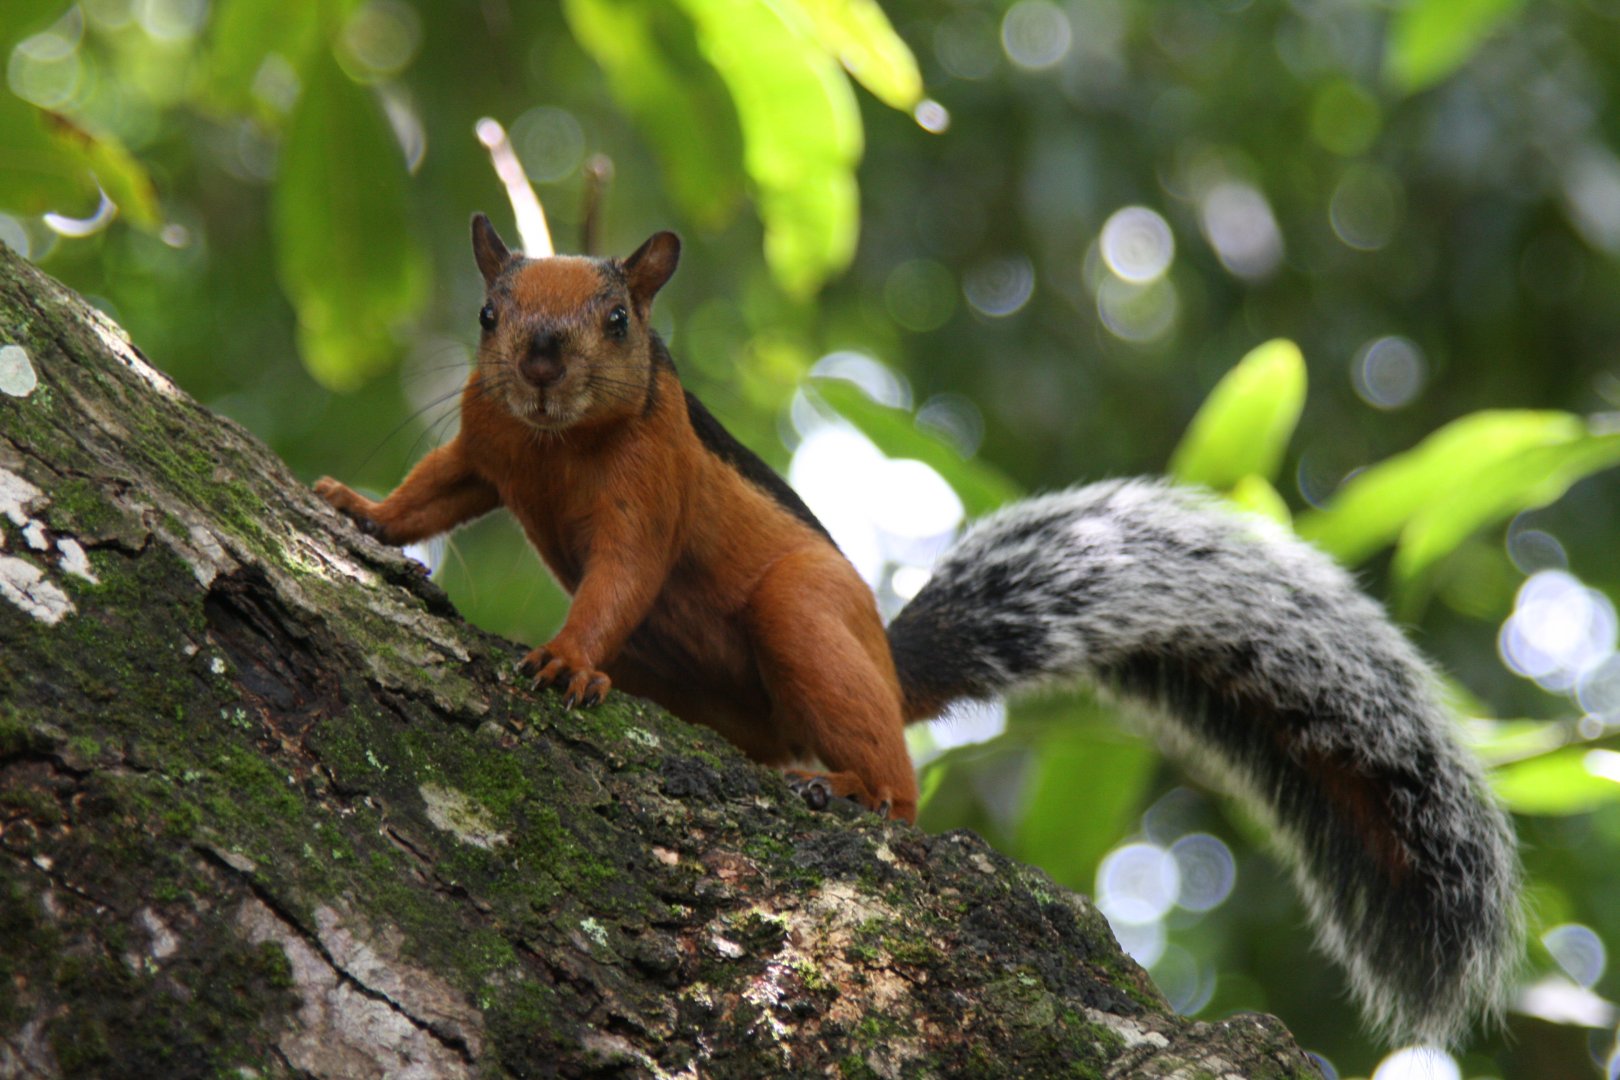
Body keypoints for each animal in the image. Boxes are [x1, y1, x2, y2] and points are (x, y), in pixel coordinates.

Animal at [315, 214, 1521, 1048]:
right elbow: (435, 490)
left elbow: (620, 581)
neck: (555, 446)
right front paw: (358, 510)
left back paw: (856, 791)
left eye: (619, 320)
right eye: (490, 314)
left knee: (897, 783)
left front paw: (568, 658)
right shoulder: (485, 444)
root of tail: (889, 669)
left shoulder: (650, 492)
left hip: (803, 618)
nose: (542, 363)